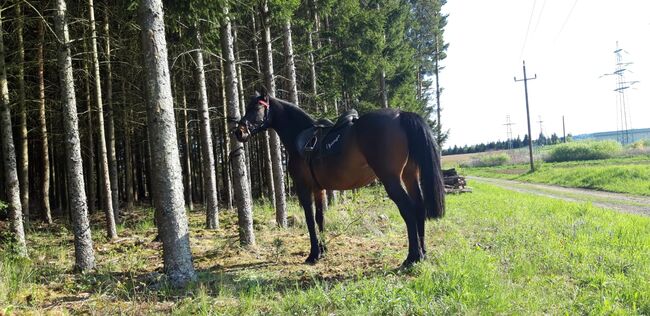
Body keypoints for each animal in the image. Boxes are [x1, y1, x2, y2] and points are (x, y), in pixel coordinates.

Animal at [234, 89, 446, 266]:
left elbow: (309, 220)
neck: (299, 136)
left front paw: (313, 254)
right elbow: (320, 218)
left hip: (391, 179)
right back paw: (423, 253)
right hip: (410, 176)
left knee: (408, 210)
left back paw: (412, 257)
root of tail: (401, 115)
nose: (239, 132)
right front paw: (323, 250)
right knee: (419, 208)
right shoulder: (318, 188)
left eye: (257, 108)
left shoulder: (303, 187)